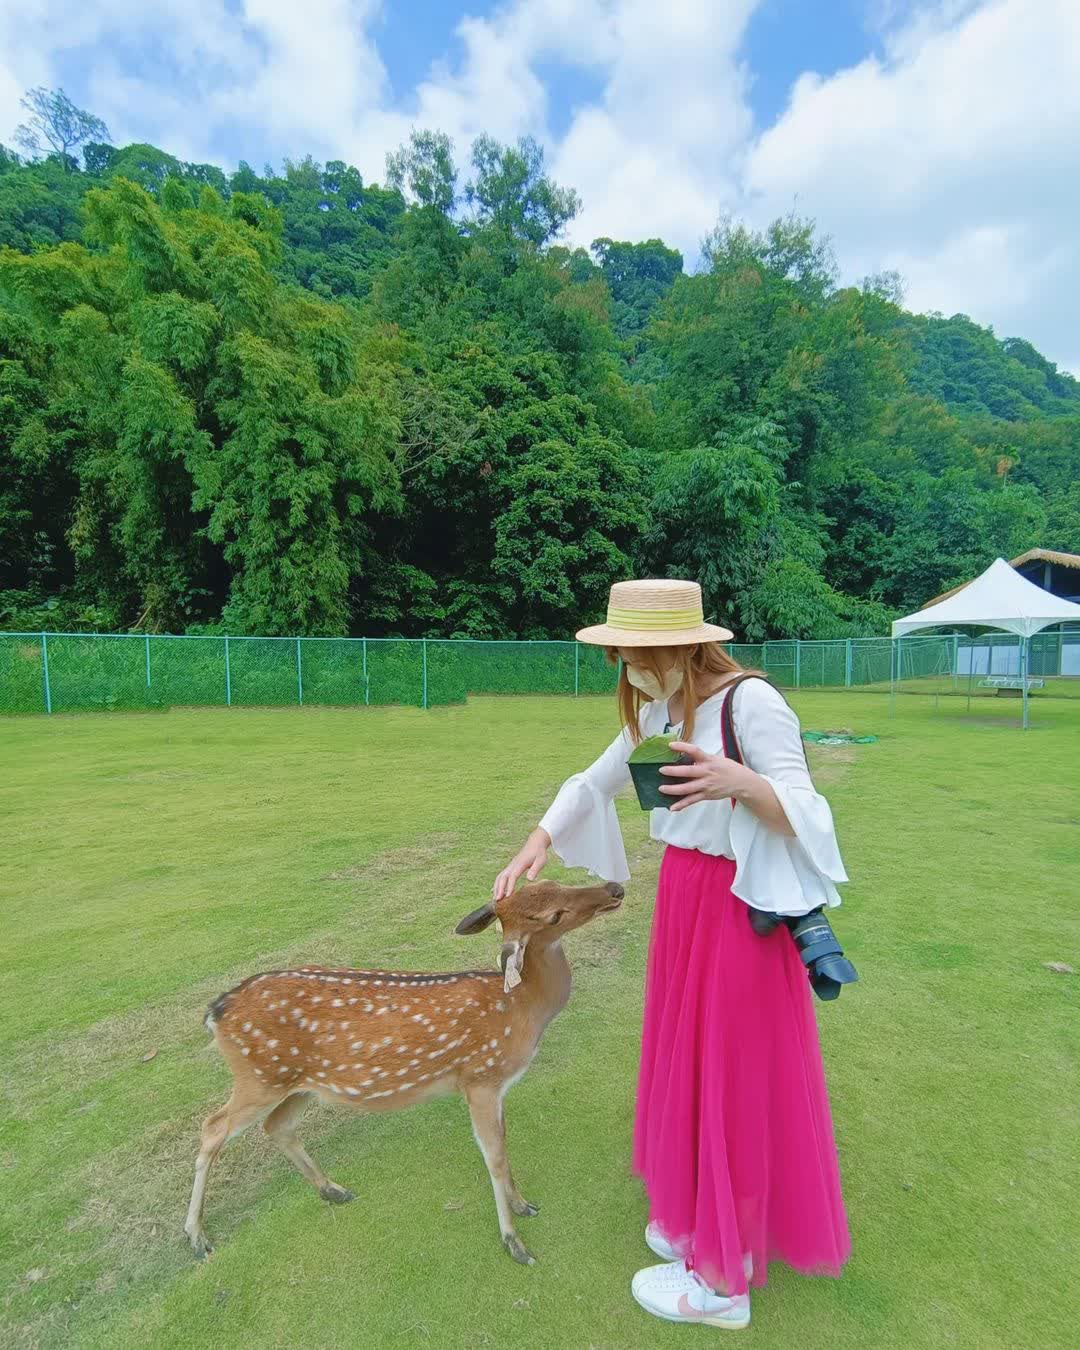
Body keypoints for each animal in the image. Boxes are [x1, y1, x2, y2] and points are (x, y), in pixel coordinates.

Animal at [184, 878, 624, 1266]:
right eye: (553, 915)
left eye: (555, 880)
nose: (614, 888)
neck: (522, 1008)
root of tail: (215, 1013)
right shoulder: (480, 1077)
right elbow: (495, 1156)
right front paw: (514, 1243)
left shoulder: (497, 1087)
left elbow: (504, 1143)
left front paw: (522, 1204)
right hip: (259, 1076)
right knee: (213, 1127)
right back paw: (197, 1237)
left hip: (299, 1082)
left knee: (277, 1126)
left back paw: (333, 1190)